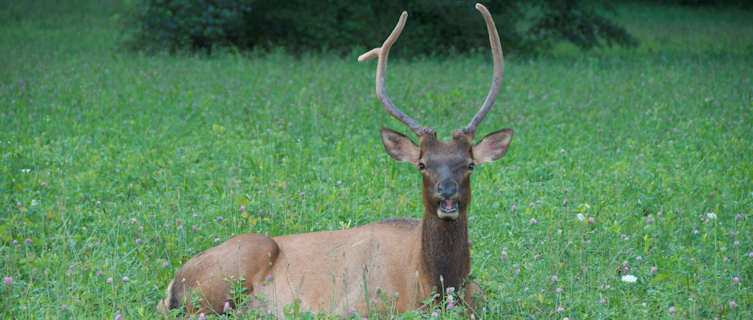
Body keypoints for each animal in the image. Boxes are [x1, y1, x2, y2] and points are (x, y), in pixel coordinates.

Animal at [158, 3, 512, 318]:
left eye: (470, 164)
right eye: (422, 164)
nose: (446, 193)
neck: (432, 287)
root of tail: (173, 286)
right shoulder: (360, 305)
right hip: (231, 269)